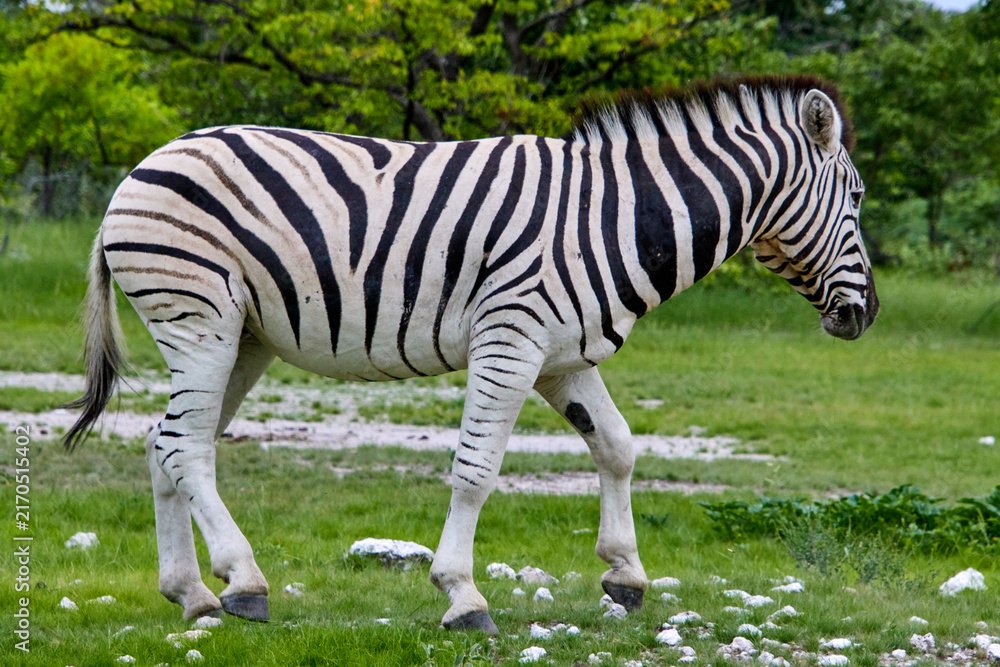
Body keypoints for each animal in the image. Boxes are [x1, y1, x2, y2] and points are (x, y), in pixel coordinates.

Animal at [65, 75, 878, 632]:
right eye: (859, 197)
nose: (865, 315)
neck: (616, 216)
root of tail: (137, 170)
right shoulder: (510, 338)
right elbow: (477, 468)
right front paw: (462, 594)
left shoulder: (563, 355)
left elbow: (617, 446)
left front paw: (625, 575)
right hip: (199, 315)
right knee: (187, 446)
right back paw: (243, 581)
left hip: (243, 337)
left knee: (166, 441)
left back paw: (192, 593)